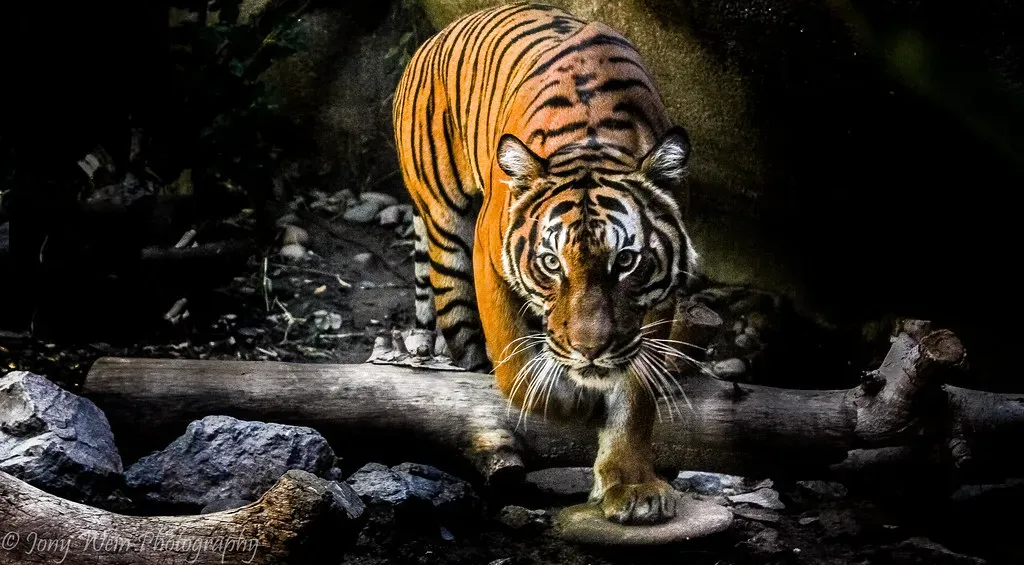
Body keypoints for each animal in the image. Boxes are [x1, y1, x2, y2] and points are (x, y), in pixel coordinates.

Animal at [391, 1, 700, 525]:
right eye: (552, 263)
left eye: (627, 261)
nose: (590, 351)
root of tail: (432, 38)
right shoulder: (487, 256)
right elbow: (513, 362)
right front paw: (570, 404)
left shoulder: (654, 303)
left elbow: (636, 395)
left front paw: (632, 487)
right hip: (444, 220)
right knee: (458, 320)